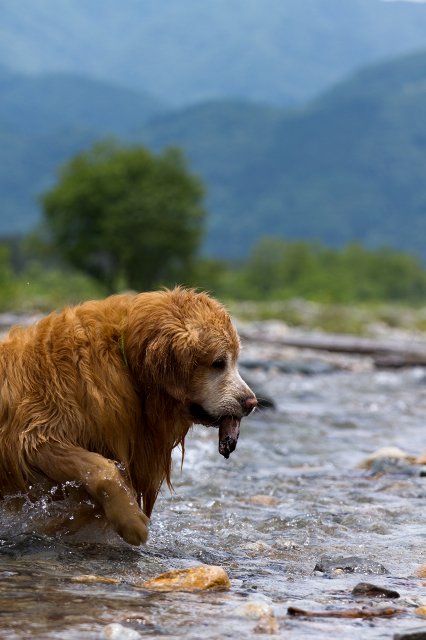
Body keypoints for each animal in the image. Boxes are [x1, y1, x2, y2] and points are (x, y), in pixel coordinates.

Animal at [0, 290, 256, 544]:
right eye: (218, 363)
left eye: (235, 360)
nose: (252, 402)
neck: (125, 365)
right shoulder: (34, 437)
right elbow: (99, 468)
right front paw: (131, 521)